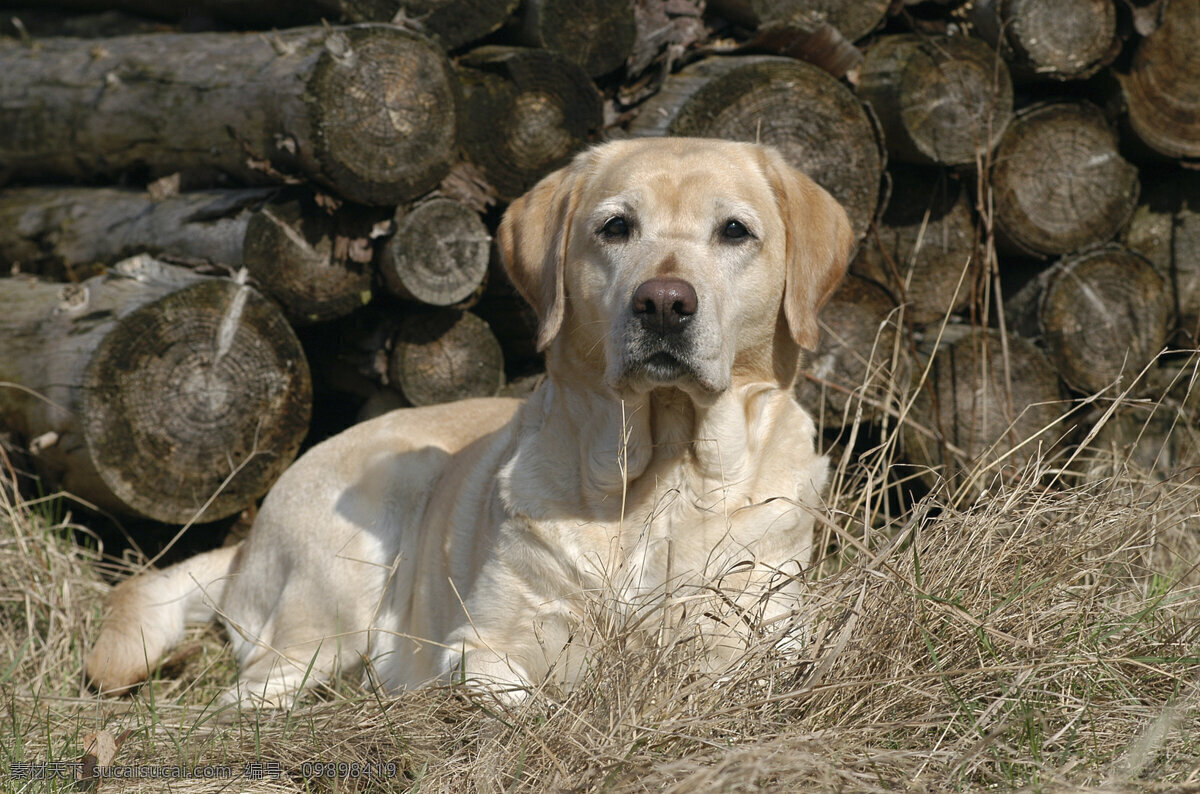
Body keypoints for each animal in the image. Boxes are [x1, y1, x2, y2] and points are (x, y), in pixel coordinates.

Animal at [87, 139, 854, 705]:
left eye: (734, 231)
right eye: (615, 227)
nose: (664, 302)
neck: (659, 478)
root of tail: (245, 546)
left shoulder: (765, 638)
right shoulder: (481, 649)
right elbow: (533, 702)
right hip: (363, 542)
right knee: (256, 689)